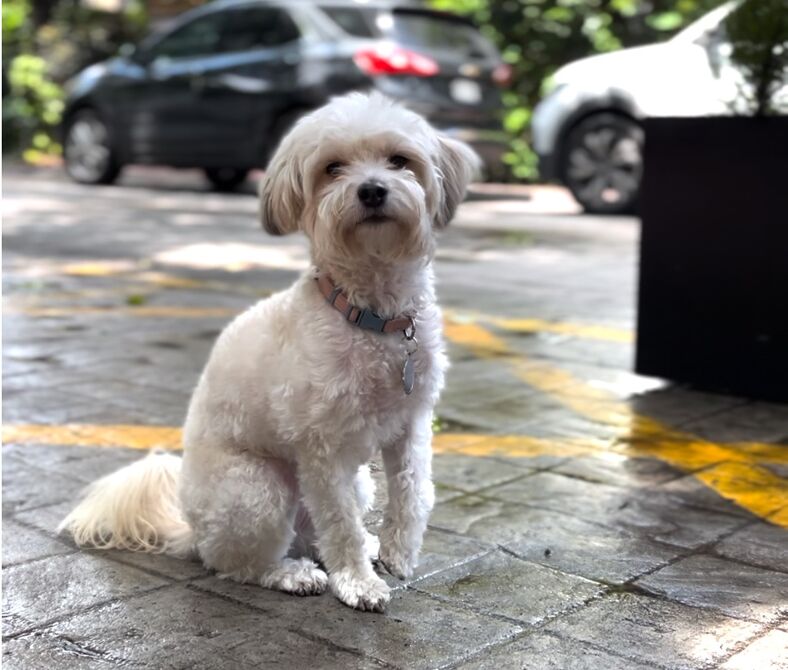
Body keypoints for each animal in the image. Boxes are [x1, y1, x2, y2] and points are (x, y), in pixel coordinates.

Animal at [60, 94, 474, 616]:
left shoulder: (411, 422)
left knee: (317, 534)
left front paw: (398, 553)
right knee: (241, 564)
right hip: (259, 490)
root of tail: (192, 533)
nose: (372, 190)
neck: (372, 317)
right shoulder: (322, 448)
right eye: (332, 168)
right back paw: (291, 574)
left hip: (355, 482)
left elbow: (413, 490)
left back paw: (361, 546)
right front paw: (359, 583)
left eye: (400, 160)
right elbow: (341, 524)